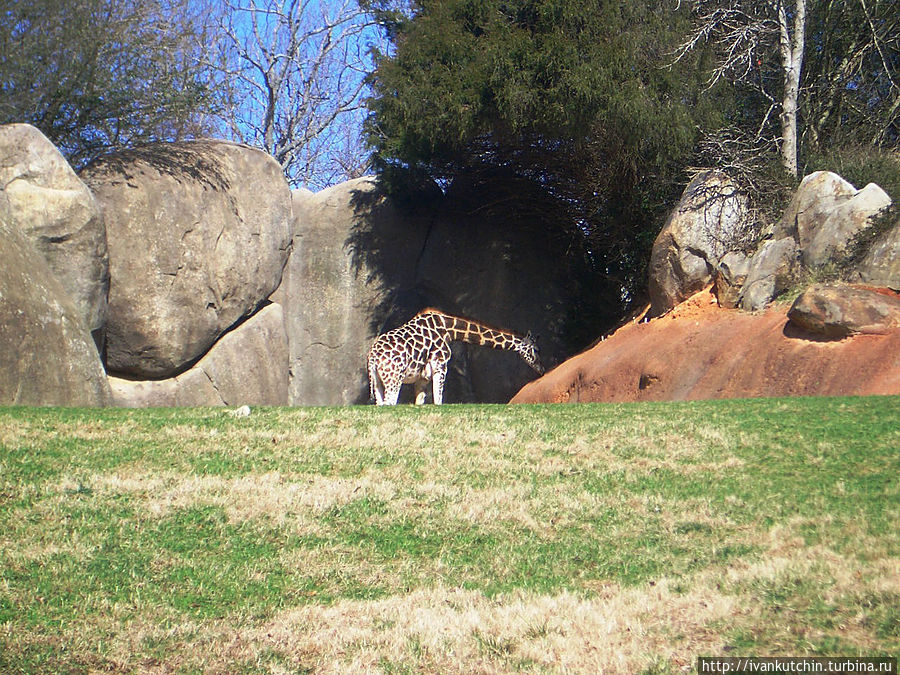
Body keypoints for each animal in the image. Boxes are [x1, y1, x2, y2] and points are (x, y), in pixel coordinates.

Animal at [364, 308, 540, 406]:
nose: (541, 369)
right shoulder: (441, 366)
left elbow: (420, 402)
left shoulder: (423, 377)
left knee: (381, 404)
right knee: (389, 403)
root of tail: (373, 356)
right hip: (394, 379)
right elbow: (438, 401)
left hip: (377, 381)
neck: (449, 329)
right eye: (536, 350)